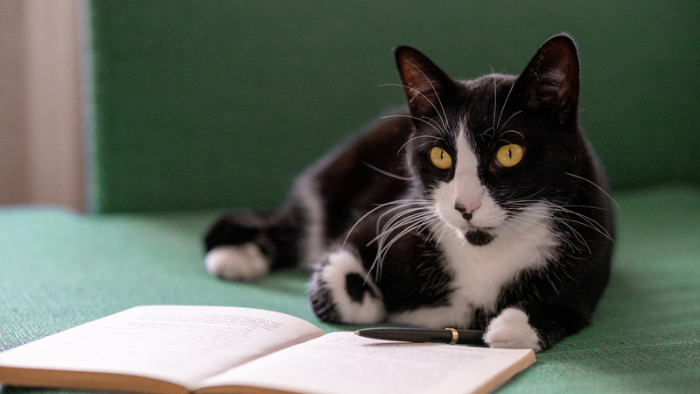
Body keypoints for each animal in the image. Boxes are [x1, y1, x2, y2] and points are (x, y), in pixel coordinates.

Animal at [202, 33, 612, 352]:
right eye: (440, 155)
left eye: (509, 153)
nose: (464, 206)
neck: (484, 252)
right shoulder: (395, 216)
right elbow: (343, 278)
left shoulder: (591, 243)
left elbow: (569, 305)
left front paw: (508, 327)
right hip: (336, 174)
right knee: (297, 222)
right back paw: (237, 257)